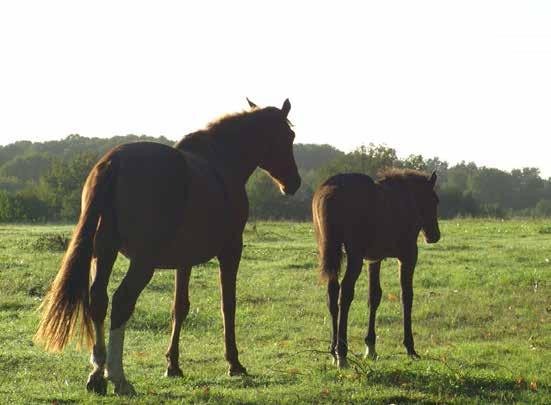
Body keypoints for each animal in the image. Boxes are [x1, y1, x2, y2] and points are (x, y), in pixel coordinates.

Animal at [34, 98, 302, 394]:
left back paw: (97, 374)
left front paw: (173, 365)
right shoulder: (231, 250)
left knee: (99, 302)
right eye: (289, 136)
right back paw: (118, 377)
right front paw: (234, 363)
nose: (293, 183)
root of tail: (114, 162)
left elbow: (180, 307)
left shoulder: (184, 260)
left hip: (104, 253)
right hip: (142, 262)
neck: (221, 163)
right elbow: (227, 305)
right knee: (121, 301)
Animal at [312, 167, 442, 366]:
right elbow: (407, 296)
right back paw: (342, 354)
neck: (405, 199)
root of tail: (331, 191)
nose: (434, 235)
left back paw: (333, 352)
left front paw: (370, 347)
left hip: (329, 250)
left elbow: (374, 296)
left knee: (332, 293)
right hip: (354, 255)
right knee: (345, 292)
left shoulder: (374, 259)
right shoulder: (408, 255)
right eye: (434, 200)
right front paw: (410, 347)